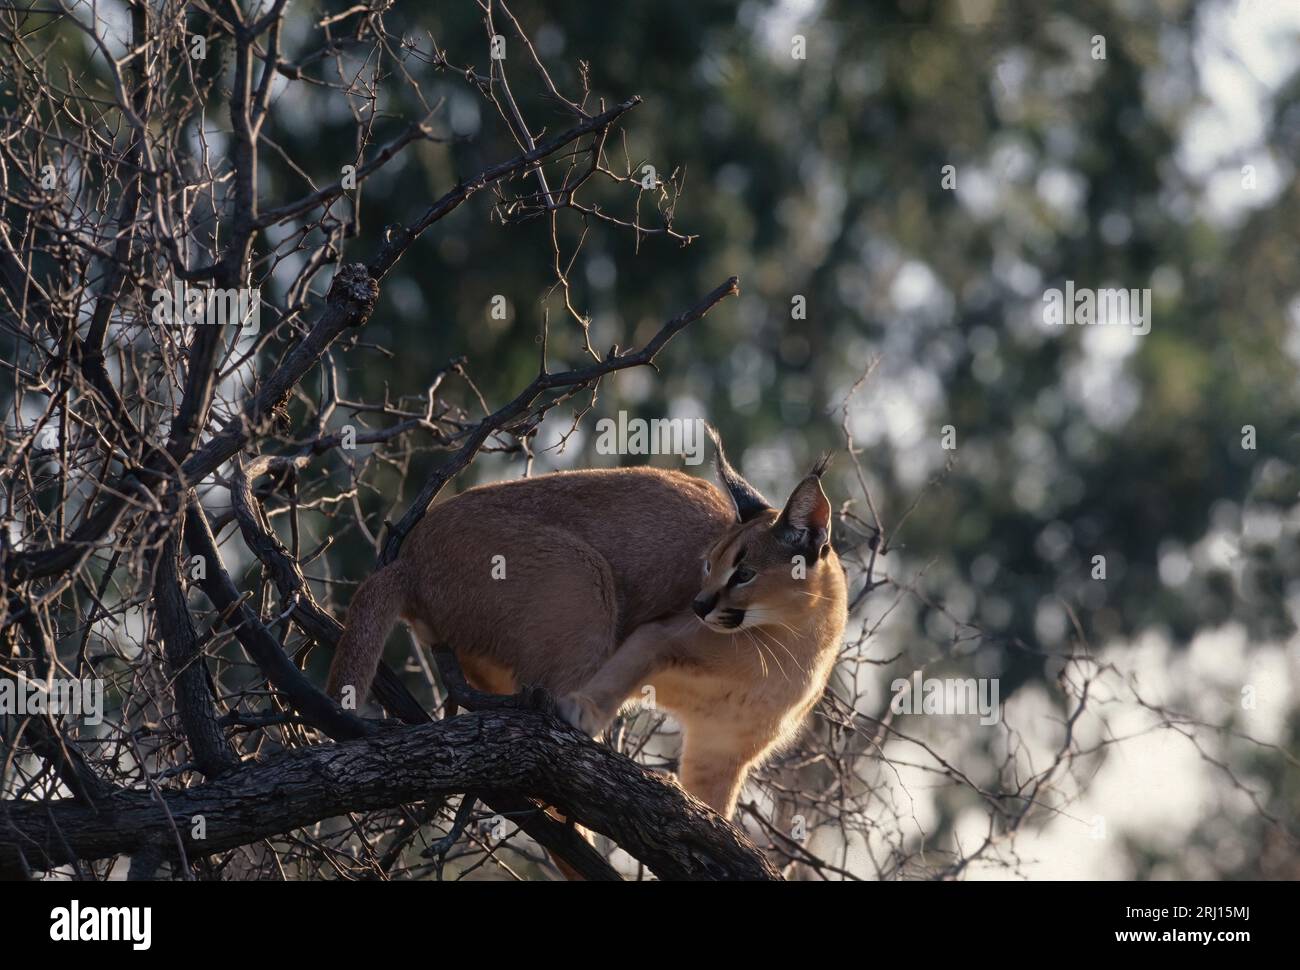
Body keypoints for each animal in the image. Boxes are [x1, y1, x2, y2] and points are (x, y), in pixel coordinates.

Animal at [330, 431, 847, 816]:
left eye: (744, 573)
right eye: (707, 565)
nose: (700, 604)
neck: (791, 644)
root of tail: (410, 555)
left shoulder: (721, 748)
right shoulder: (657, 635)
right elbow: (620, 674)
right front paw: (583, 711)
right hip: (586, 578)